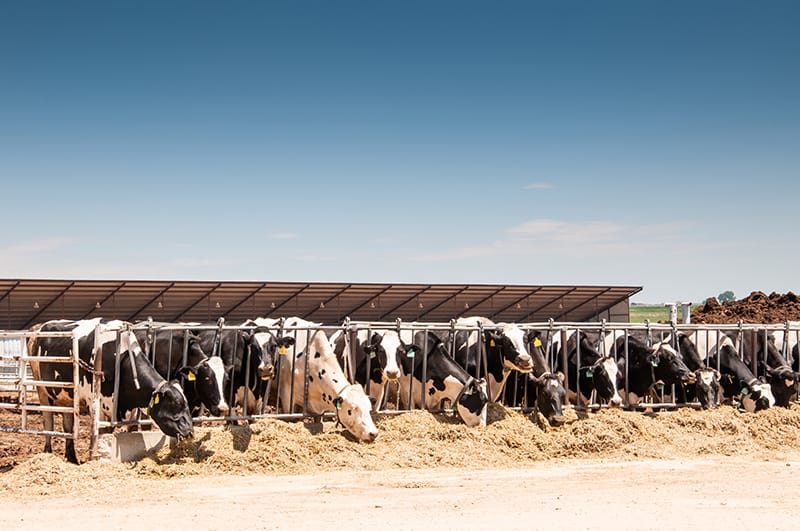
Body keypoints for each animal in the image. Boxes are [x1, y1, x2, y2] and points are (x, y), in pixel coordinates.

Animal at [28, 318, 194, 464]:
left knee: (68, 425)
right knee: (48, 422)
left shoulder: (130, 408)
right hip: (42, 390)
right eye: (175, 405)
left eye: (186, 404)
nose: (190, 433)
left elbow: (130, 430)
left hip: (66, 397)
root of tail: (38, 328)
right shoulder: (95, 404)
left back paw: (72, 458)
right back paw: (47, 453)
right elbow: (101, 433)